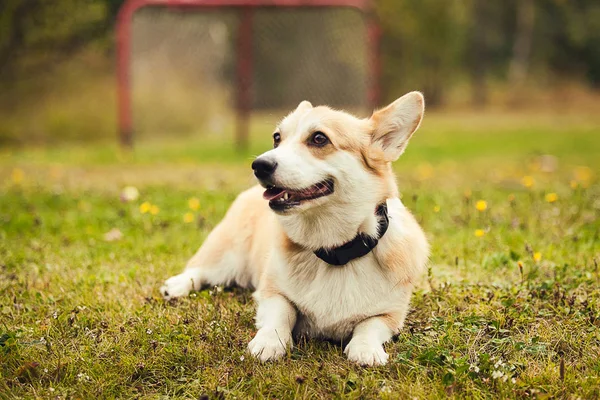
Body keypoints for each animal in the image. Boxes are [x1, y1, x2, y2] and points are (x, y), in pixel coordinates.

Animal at [162, 91, 428, 366]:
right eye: (277, 138)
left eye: (319, 138)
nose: (259, 165)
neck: (335, 252)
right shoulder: (271, 292)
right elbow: (281, 314)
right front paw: (269, 343)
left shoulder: (391, 315)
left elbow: (370, 325)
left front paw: (366, 349)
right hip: (228, 257)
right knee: (201, 270)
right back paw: (177, 285)